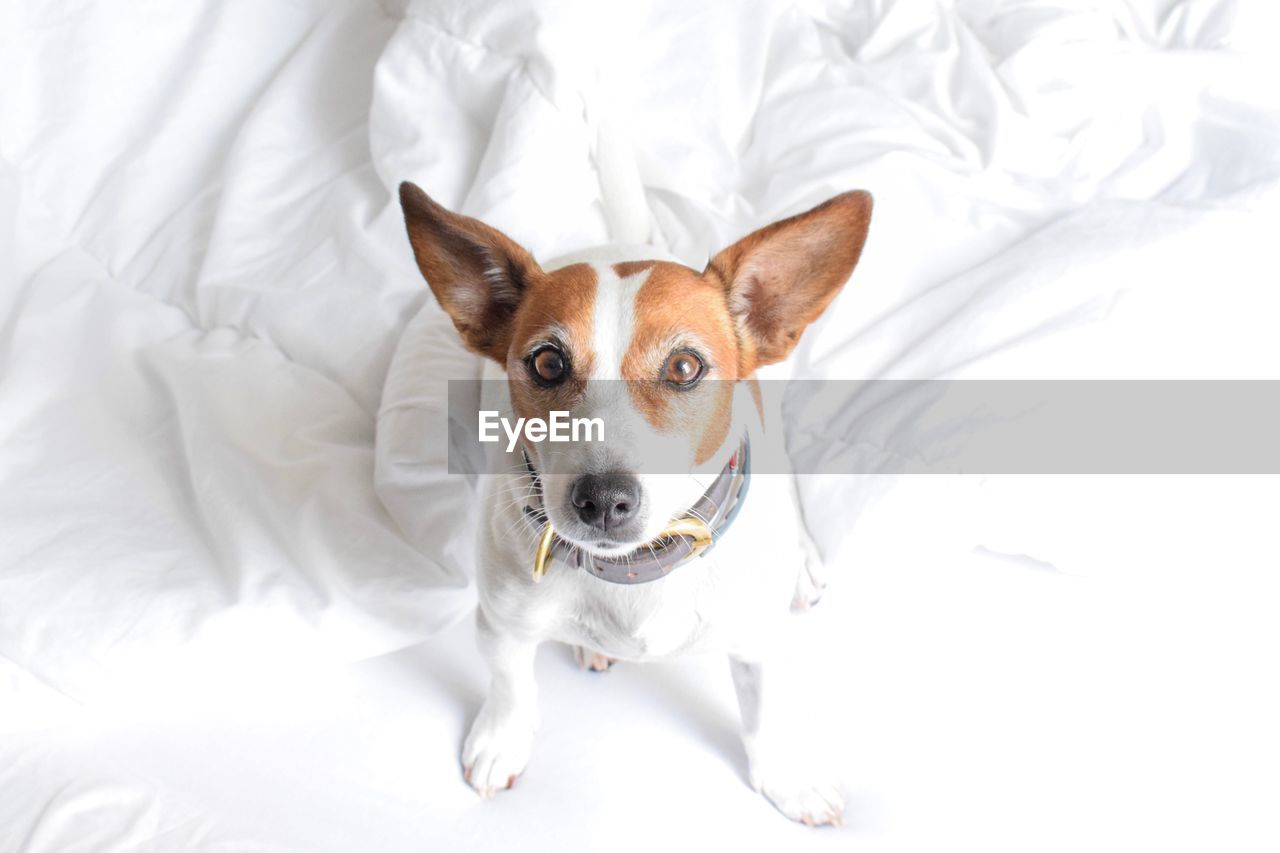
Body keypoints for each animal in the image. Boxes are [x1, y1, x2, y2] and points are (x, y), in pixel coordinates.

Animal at [396, 180, 870, 824]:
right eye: (548, 363)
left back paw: (803, 565)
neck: (635, 572)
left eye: (685, 366)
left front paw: (788, 776)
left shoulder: (759, 644)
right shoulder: (501, 625)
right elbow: (511, 686)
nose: (601, 499)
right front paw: (502, 740)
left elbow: (766, 712)